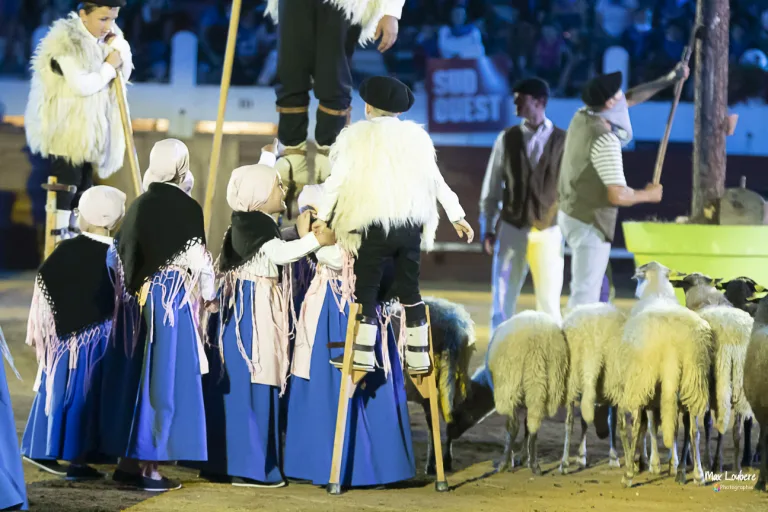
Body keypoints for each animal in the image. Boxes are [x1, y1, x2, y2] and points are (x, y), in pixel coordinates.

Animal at [390, 296, 474, 476]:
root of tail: (453, 326)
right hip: (455, 377)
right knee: (450, 417)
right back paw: (446, 461)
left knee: (432, 421)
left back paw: (430, 465)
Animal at [488, 310, 568, 474]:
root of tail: (535, 347)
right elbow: (526, 426)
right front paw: (526, 458)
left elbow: (517, 426)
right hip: (547, 385)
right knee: (534, 424)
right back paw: (534, 465)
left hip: (509, 386)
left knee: (513, 426)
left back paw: (503, 463)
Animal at [560, 302, 628, 474]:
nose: (602, 434)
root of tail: (592, 349)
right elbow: (608, 422)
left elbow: (584, 421)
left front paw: (582, 456)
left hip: (573, 380)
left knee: (569, 422)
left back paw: (564, 463)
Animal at [620, 262, 712, 486]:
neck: (658, 291)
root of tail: (671, 346)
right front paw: (672, 464)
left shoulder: (651, 389)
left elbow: (652, 426)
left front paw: (654, 465)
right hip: (693, 380)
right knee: (694, 430)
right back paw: (698, 474)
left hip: (642, 380)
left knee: (637, 424)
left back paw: (628, 475)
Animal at [668, 272, 752, 472]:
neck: (704, 299)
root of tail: (736, 339)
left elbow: (705, 423)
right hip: (738, 383)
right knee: (736, 428)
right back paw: (736, 465)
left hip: (718, 378)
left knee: (718, 423)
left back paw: (714, 463)